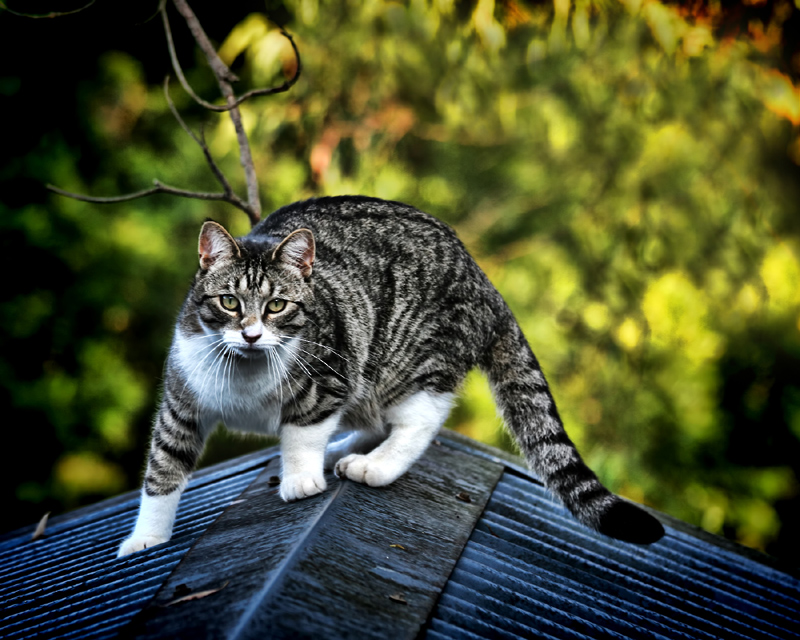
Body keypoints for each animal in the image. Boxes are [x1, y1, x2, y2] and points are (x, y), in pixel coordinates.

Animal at [117, 194, 664, 556]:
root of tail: (482, 277)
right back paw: (343, 451)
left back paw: (374, 465)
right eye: (229, 303)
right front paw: (147, 537)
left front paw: (300, 478)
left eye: (276, 306)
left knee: (418, 420)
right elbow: (162, 472)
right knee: (373, 420)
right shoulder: (181, 403)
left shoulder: (329, 379)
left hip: (408, 361)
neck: (245, 373)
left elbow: (301, 432)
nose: (251, 335)